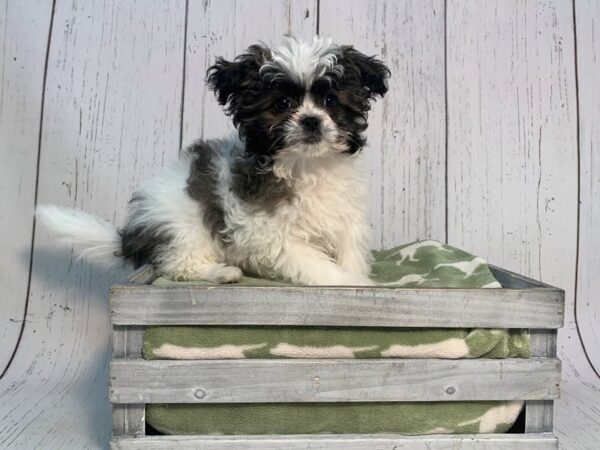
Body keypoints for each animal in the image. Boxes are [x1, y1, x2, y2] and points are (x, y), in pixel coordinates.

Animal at [39, 37, 392, 286]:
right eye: (281, 103)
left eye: (331, 101)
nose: (311, 121)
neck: (306, 165)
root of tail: (131, 235)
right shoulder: (267, 233)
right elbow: (313, 263)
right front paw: (351, 284)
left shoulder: (345, 218)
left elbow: (349, 249)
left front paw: (357, 275)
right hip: (182, 228)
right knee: (177, 265)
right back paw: (222, 273)